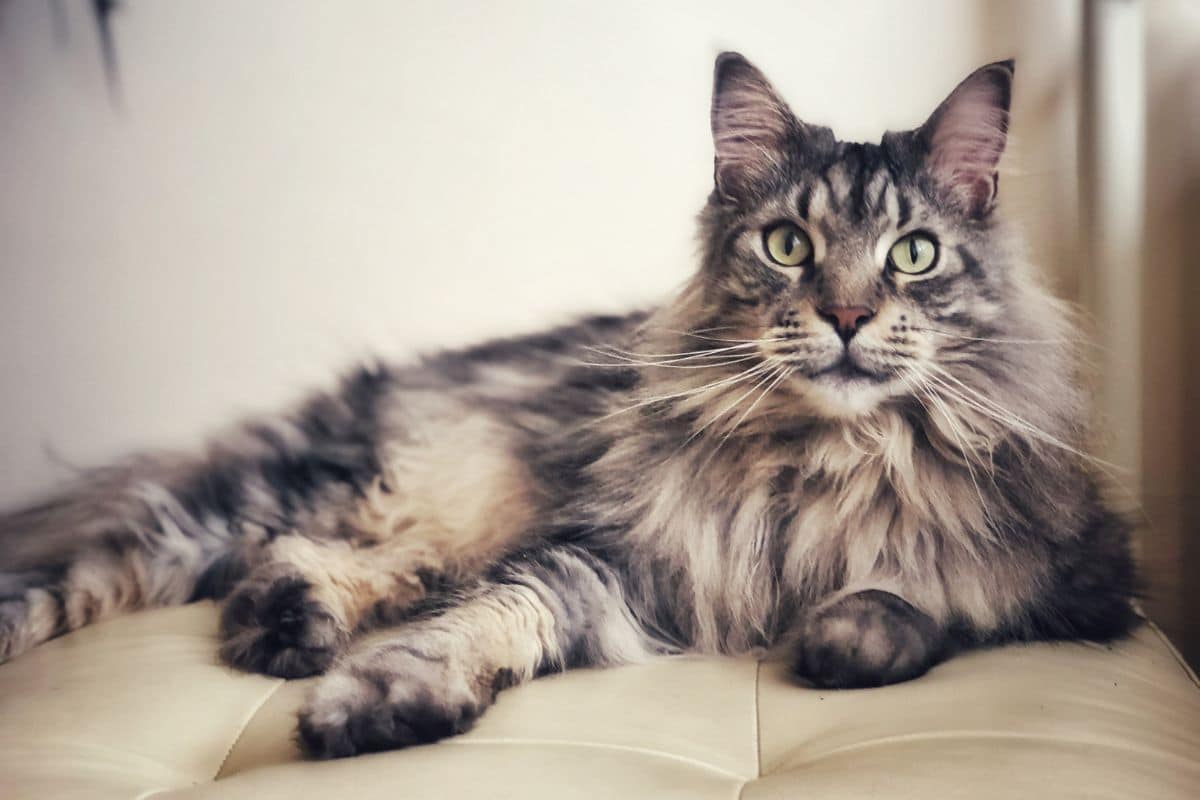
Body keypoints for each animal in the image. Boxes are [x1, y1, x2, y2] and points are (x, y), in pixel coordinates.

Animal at [0, 54, 1137, 758]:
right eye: (788, 244)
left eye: (913, 254)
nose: (850, 314)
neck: (823, 459)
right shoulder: (612, 558)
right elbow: (487, 618)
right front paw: (378, 700)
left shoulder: (1080, 577)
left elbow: (939, 598)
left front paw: (846, 634)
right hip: (300, 496)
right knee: (90, 567)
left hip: (411, 524)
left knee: (331, 563)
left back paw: (287, 621)